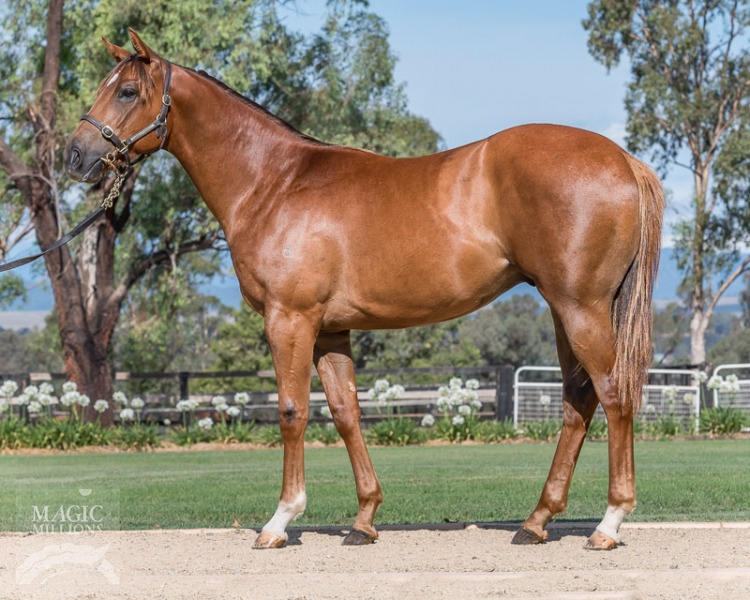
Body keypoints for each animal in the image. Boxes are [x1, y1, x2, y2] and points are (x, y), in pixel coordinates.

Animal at [64, 29, 664, 550]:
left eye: (125, 90)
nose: (75, 156)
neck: (274, 182)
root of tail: (622, 159)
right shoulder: (331, 331)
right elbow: (345, 412)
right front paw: (364, 519)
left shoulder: (290, 319)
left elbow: (291, 412)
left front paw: (280, 521)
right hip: (567, 311)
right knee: (579, 400)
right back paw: (536, 521)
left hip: (580, 307)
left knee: (614, 394)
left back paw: (608, 524)